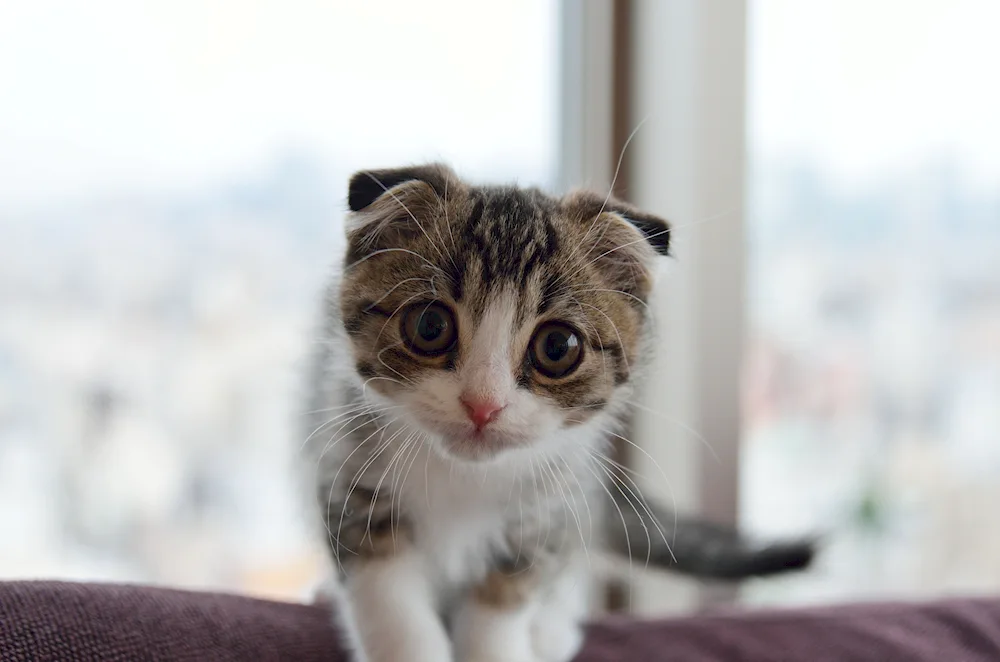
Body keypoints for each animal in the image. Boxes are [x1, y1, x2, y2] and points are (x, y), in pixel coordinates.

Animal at [304, 165, 812, 662]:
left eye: (557, 347)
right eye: (430, 326)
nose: (483, 404)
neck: (465, 476)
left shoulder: (545, 513)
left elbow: (504, 602)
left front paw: (504, 643)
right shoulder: (348, 472)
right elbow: (389, 602)